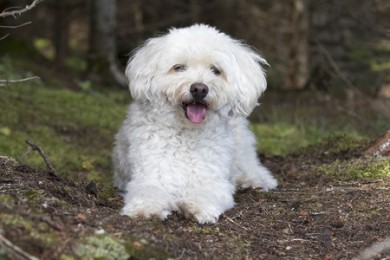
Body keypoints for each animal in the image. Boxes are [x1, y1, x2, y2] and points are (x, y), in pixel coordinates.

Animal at [112, 23, 278, 223]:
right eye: (179, 67)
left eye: (216, 70)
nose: (199, 89)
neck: (187, 134)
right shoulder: (150, 175)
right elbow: (149, 191)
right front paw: (145, 208)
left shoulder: (212, 180)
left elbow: (207, 192)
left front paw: (197, 206)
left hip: (241, 151)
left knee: (252, 168)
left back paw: (252, 181)